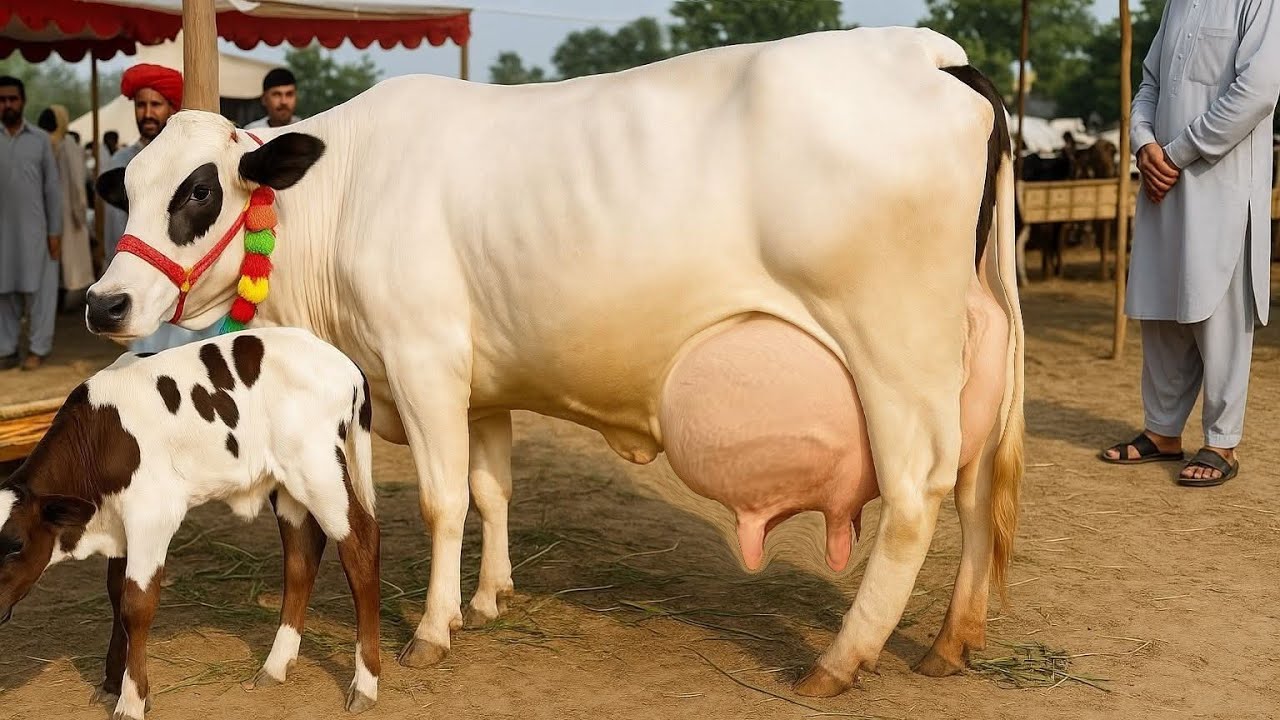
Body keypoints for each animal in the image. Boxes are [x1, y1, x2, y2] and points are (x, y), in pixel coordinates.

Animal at [0, 327, 380, 719]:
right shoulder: (121, 526)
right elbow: (116, 594)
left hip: (318, 468)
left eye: (16, 545)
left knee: (360, 541)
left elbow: (136, 605)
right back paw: (275, 666)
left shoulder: (152, 515)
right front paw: (111, 684)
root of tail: (345, 363)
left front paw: (131, 701)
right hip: (289, 483)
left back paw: (364, 684)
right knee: (301, 554)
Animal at [87, 27, 1025, 700]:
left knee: (917, 496)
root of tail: (932, 51)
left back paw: (839, 659)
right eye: (128, 186)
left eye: (198, 190)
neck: (342, 192)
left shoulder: (425, 362)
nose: (104, 303)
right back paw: (951, 642)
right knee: (979, 486)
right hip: (976, 349)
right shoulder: (480, 383)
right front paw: (491, 596)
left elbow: (444, 500)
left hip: (896, 354)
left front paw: (433, 629)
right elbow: (494, 488)